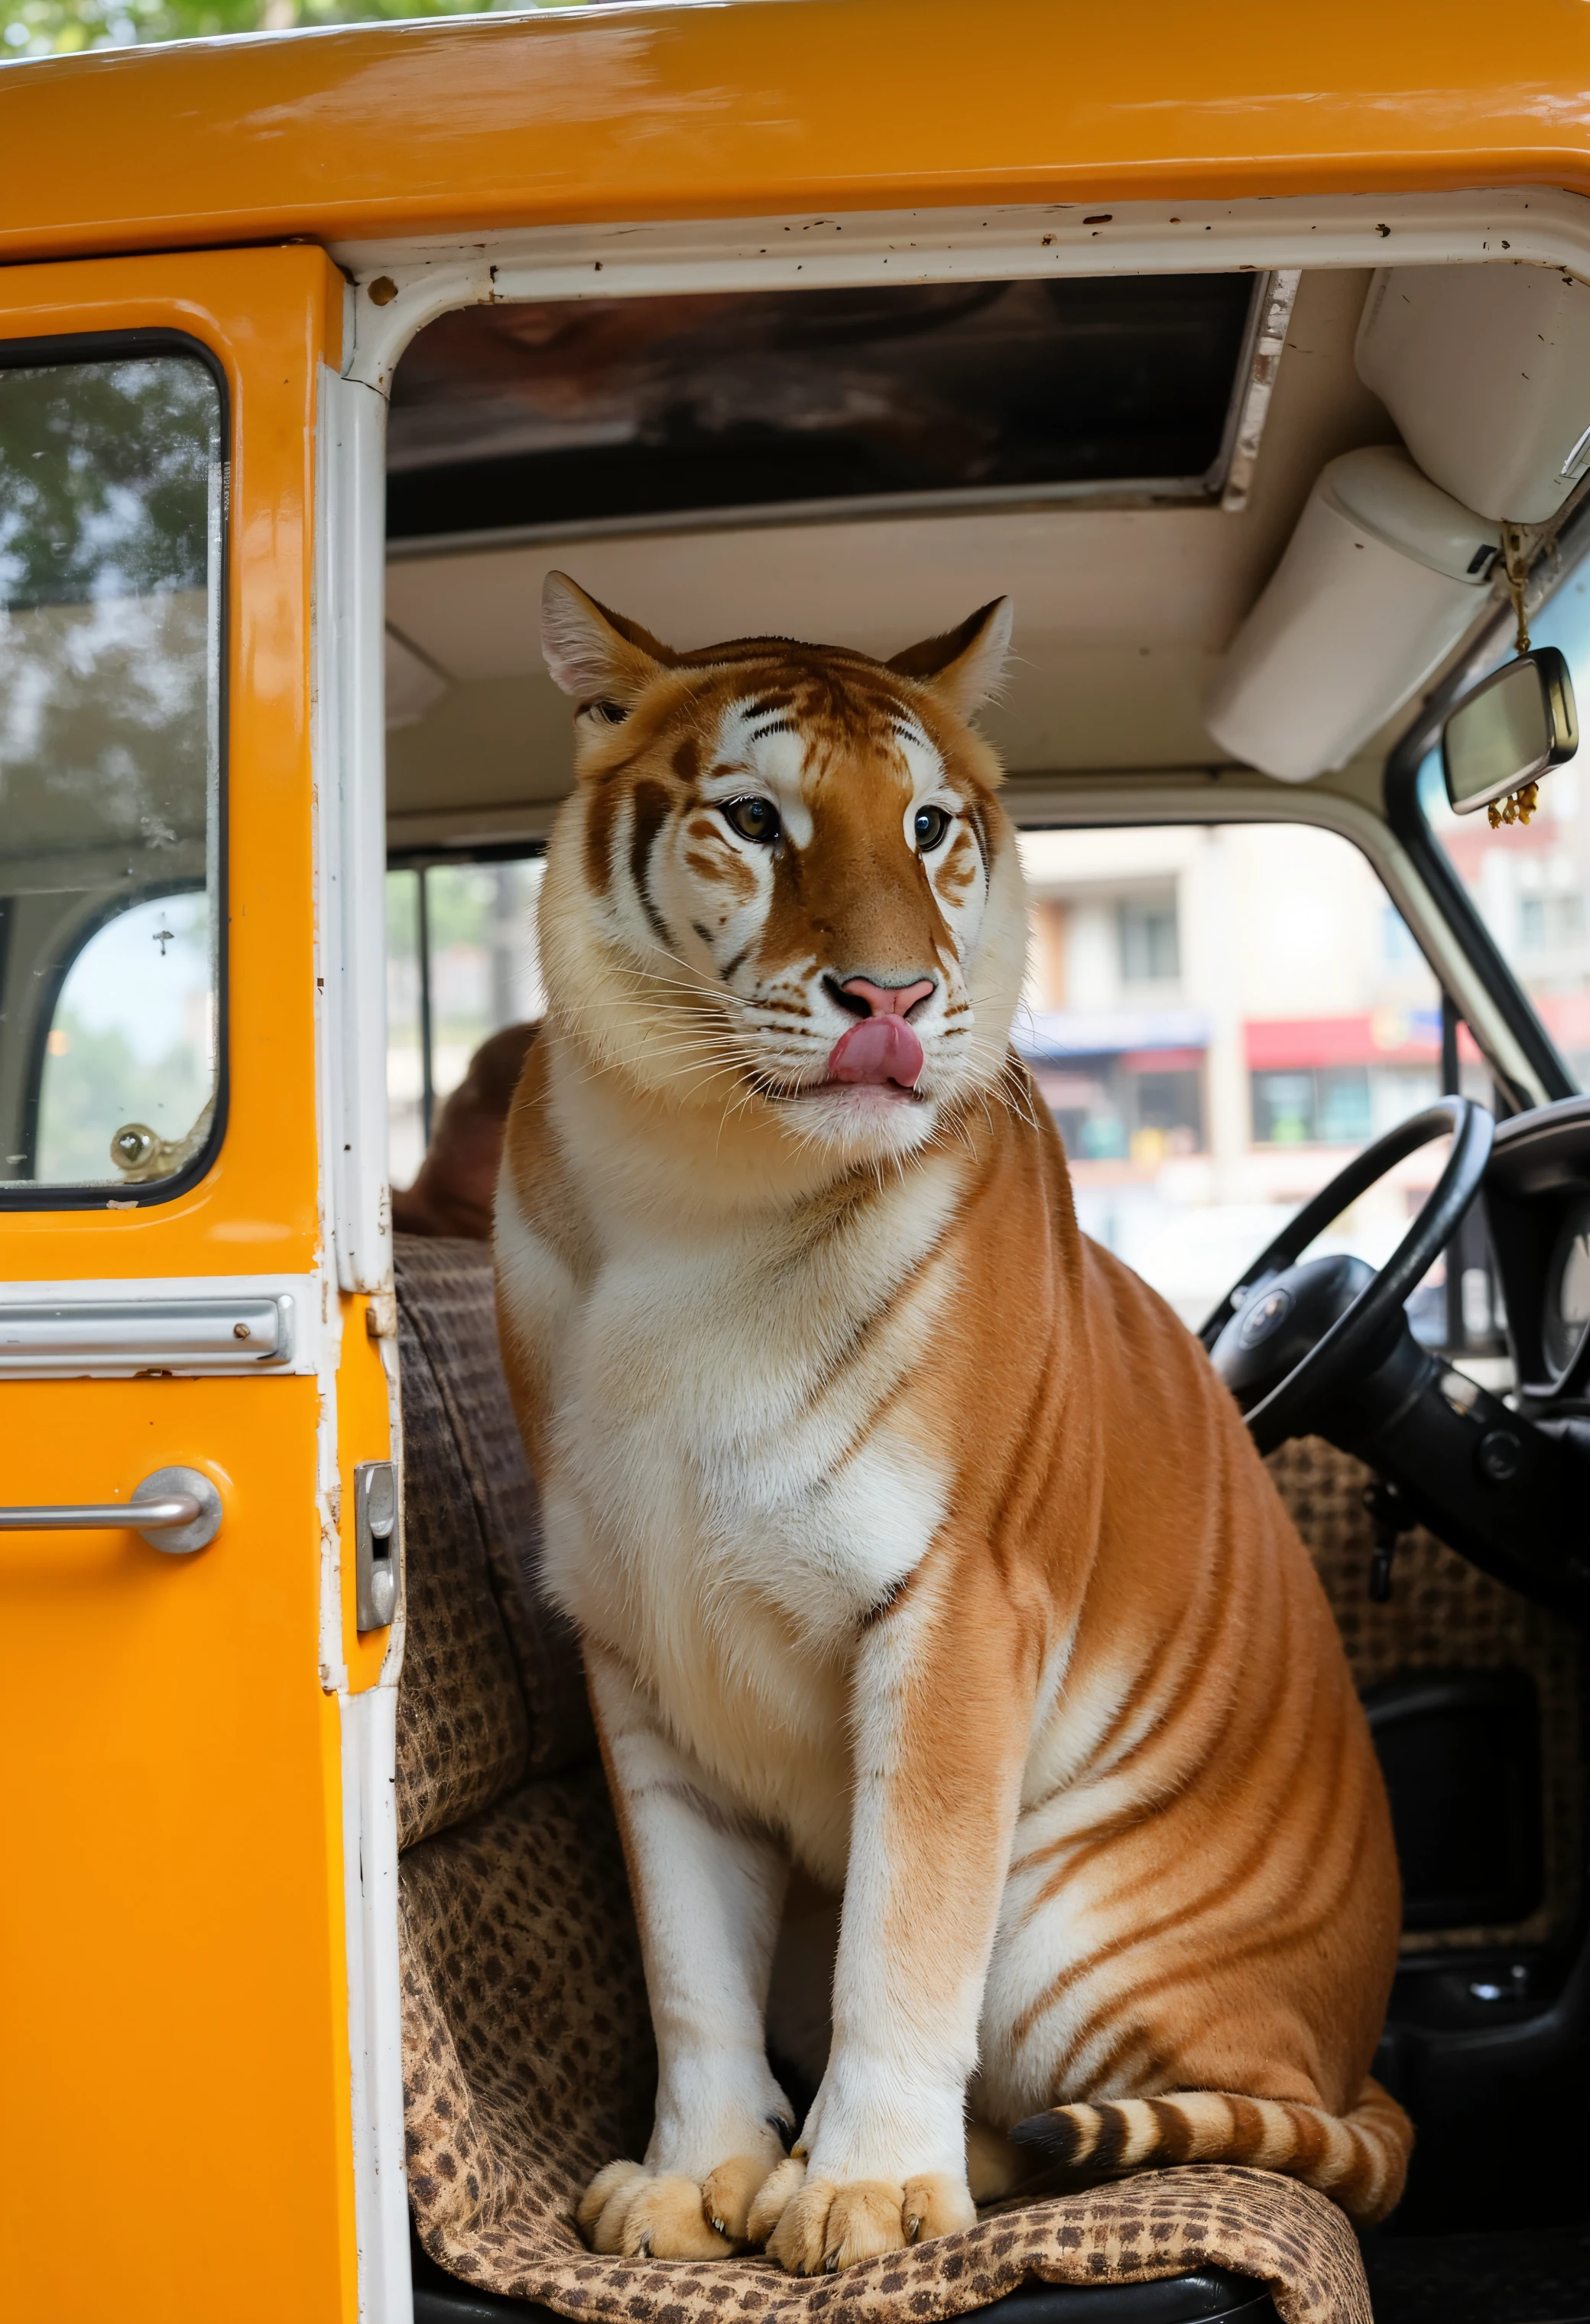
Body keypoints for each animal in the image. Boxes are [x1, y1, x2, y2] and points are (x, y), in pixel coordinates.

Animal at [490, 571, 1413, 2277]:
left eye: (926, 825)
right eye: (755, 819)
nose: (895, 996)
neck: (692, 1183)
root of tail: (1354, 2058)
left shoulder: (954, 1606)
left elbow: (903, 1929)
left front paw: (859, 2187)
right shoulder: (638, 1656)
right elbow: (684, 1960)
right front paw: (697, 2175)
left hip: (1069, 1927)